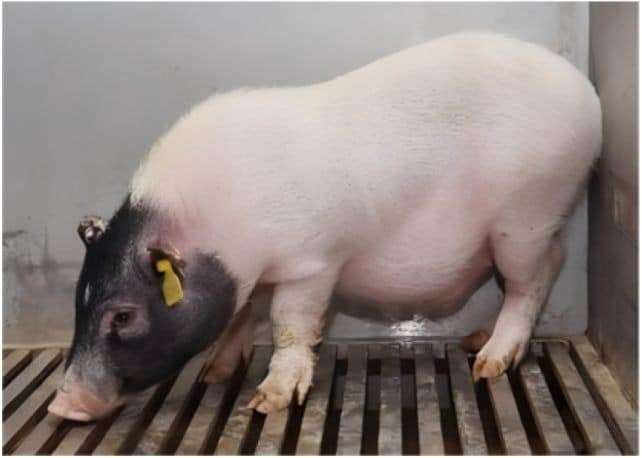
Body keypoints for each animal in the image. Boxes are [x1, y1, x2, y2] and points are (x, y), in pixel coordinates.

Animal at [48, 31, 601, 420]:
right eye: (78, 301)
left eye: (123, 316)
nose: (63, 406)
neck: (219, 226)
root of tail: (586, 94)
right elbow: (239, 314)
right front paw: (212, 375)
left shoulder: (310, 262)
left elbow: (289, 323)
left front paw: (267, 402)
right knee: (547, 264)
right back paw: (473, 341)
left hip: (524, 215)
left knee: (533, 278)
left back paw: (487, 363)